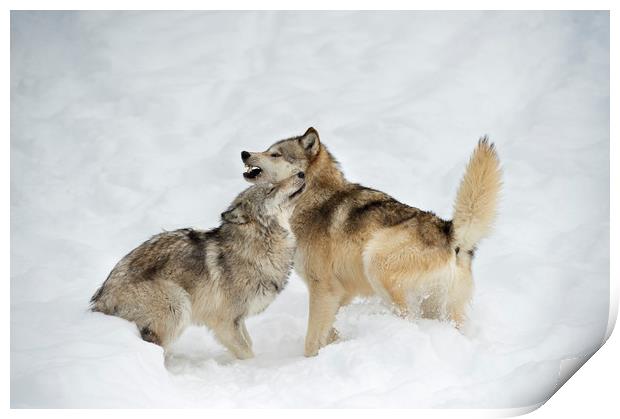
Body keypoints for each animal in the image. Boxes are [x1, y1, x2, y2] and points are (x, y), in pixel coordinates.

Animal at [90, 172, 308, 360]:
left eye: (273, 184)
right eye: (271, 189)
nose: (301, 173)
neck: (258, 246)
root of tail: (100, 299)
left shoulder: (239, 319)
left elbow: (250, 343)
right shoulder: (225, 323)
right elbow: (247, 352)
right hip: (178, 304)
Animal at [240, 129, 502, 358]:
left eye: (275, 154)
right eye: (267, 149)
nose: (244, 153)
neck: (313, 200)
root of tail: (449, 232)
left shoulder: (323, 288)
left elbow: (312, 339)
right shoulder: (341, 293)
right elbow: (329, 331)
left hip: (376, 263)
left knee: (408, 317)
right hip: (439, 308)